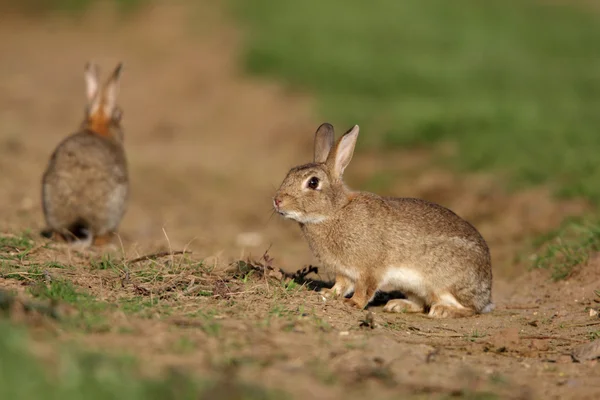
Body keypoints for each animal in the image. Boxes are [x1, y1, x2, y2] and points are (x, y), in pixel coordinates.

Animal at [274, 122, 494, 318]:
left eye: (313, 182)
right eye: (289, 173)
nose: (277, 200)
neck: (335, 212)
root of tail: (486, 293)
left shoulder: (370, 268)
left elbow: (365, 288)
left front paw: (352, 303)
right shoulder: (344, 271)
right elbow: (342, 284)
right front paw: (328, 294)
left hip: (443, 283)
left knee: (469, 309)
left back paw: (442, 311)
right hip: (414, 287)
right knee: (420, 304)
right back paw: (397, 305)